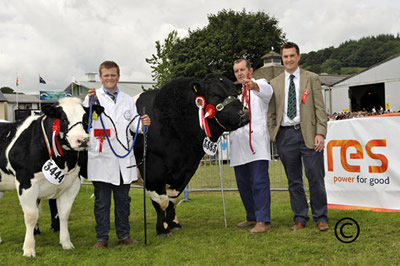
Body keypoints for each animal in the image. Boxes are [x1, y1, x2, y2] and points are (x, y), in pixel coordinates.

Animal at [0, 97, 103, 256]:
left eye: (86, 118)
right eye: (63, 119)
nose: (82, 140)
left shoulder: (72, 184)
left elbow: (64, 214)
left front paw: (66, 243)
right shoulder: (26, 182)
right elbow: (31, 216)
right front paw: (28, 249)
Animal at [134, 73, 250, 237]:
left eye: (235, 94)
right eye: (215, 95)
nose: (245, 113)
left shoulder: (185, 171)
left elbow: (172, 199)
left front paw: (174, 224)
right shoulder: (152, 166)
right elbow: (161, 201)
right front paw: (163, 229)